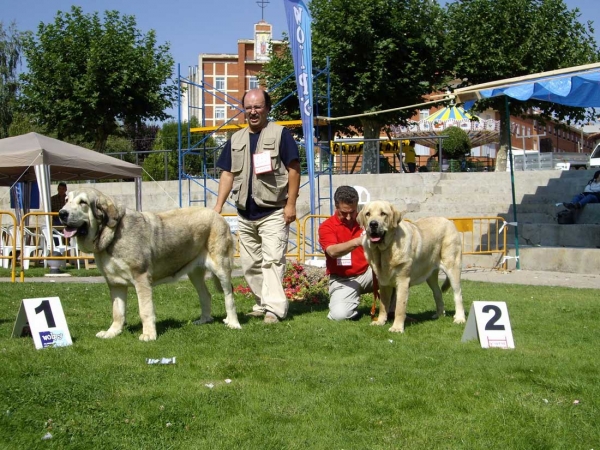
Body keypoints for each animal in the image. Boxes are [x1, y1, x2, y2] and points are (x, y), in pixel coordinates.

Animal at [58, 187, 240, 342]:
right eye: (66, 200)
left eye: (83, 202)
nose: (61, 213)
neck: (112, 234)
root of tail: (217, 214)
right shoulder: (115, 283)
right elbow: (117, 312)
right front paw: (112, 332)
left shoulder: (141, 278)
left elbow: (145, 310)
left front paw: (149, 335)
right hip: (194, 273)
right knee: (205, 295)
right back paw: (204, 320)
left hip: (221, 267)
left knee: (229, 295)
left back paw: (233, 323)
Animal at [358, 200, 466, 334]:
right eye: (368, 214)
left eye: (383, 213)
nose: (373, 224)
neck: (384, 251)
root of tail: (449, 221)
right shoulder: (383, 282)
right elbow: (383, 305)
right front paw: (380, 321)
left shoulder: (403, 281)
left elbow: (399, 307)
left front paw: (397, 327)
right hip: (430, 275)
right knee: (437, 293)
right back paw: (439, 314)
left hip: (452, 267)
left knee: (458, 294)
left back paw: (460, 318)